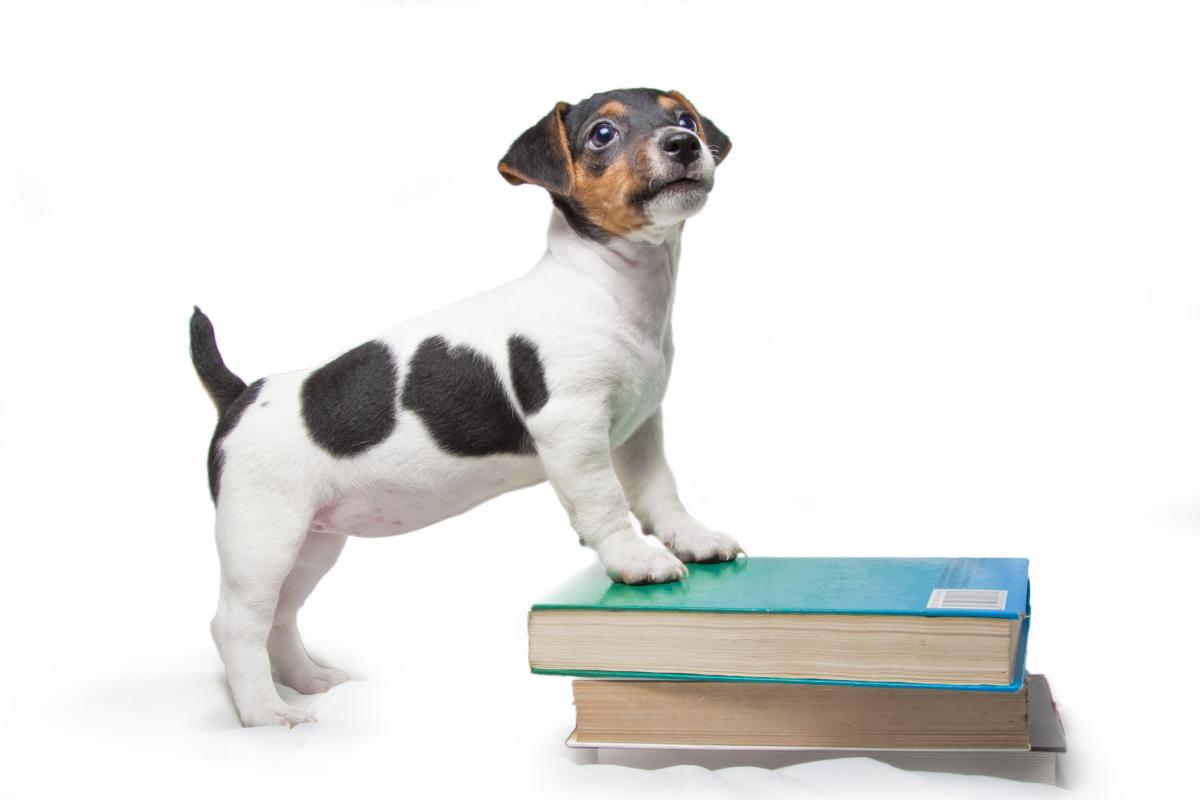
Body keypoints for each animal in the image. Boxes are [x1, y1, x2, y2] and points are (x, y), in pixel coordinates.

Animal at [188, 87, 739, 724]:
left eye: (685, 117)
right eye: (602, 134)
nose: (685, 144)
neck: (608, 288)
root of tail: (239, 394)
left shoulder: (640, 428)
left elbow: (659, 492)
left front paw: (691, 537)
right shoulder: (573, 428)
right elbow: (603, 502)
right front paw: (633, 559)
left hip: (312, 544)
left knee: (279, 616)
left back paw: (307, 680)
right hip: (261, 537)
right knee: (236, 623)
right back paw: (265, 712)